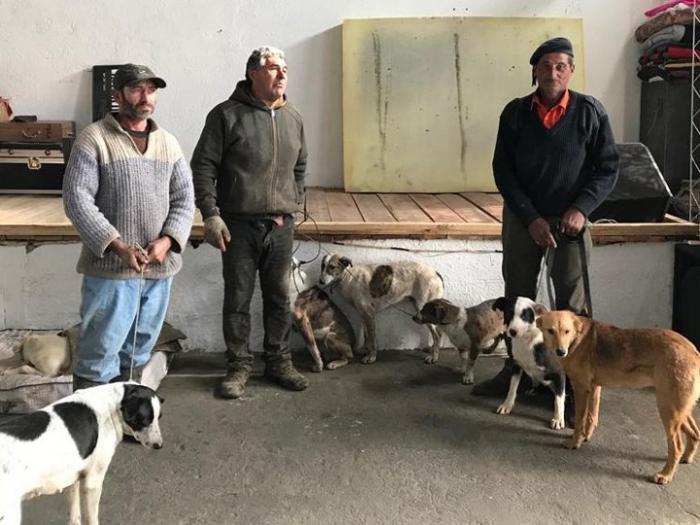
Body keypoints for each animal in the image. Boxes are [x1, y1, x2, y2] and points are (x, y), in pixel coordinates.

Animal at [0, 380, 164, 524]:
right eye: (144, 420)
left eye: (159, 417)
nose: (159, 445)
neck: (111, 404)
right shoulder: (93, 482)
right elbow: (92, 518)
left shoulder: (72, 479)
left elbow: (74, 515)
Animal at [490, 296, 568, 428]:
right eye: (509, 313)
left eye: (524, 316)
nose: (512, 332)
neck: (527, 340)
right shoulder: (516, 367)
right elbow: (512, 389)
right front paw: (507, 405)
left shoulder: (559, 373)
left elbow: (558, 400)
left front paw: (558, 419)